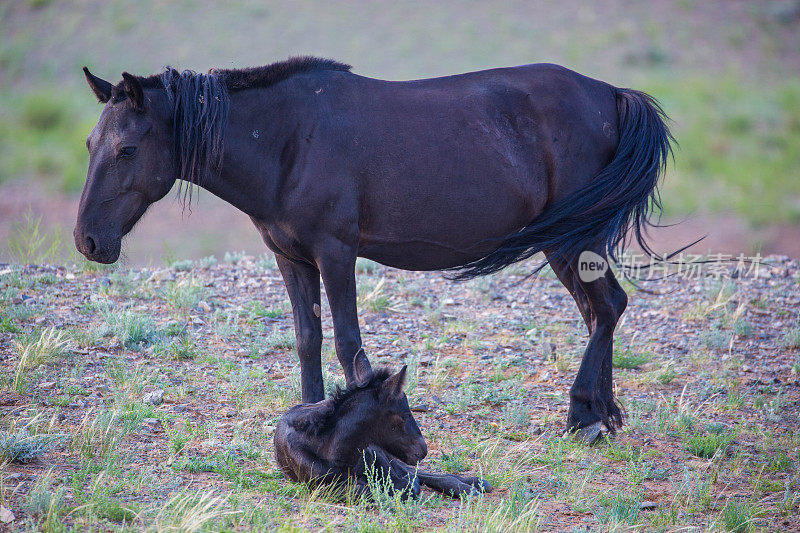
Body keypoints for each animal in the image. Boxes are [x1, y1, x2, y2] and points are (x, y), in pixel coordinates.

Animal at [76, 57, 676, 440]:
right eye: (89, 143)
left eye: (126, 149)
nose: (88, 240)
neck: (287, 139)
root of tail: (612, 95)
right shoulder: (291, 257)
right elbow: (308, 339)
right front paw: (308, 415)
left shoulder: (336, 253)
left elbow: (349, 345)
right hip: (568, 244)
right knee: (600, 311)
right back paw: (604, 413)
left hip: (574, 240)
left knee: (607, 308)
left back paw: (583, 417)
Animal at [276, 352, 490, 496]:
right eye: (405, 414)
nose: (423, 450)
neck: (339, 452)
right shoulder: (321, 487)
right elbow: (371, 490)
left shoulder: (380, 458)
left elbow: (409, 483)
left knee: (419, 473)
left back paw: (471, 484)